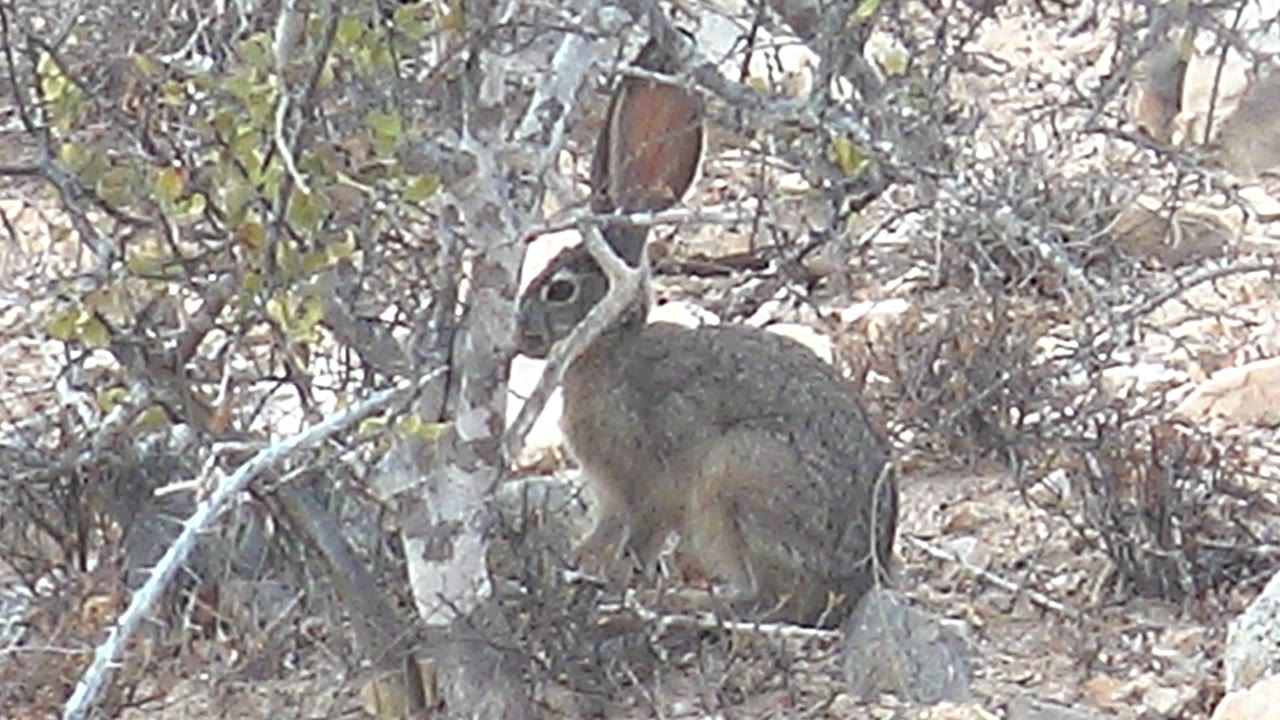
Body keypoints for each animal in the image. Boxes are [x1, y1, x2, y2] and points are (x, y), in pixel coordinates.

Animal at [516, 244, 898, 627]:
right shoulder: (617, 496)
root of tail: (854, 585)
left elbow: (637, 543)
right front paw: (578, 569)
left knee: (779, 601)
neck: (610, 349)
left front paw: (611, 586)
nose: (520, 330)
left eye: (561, 290)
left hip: (743, 476)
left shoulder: (643, 485)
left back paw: (688, 604)